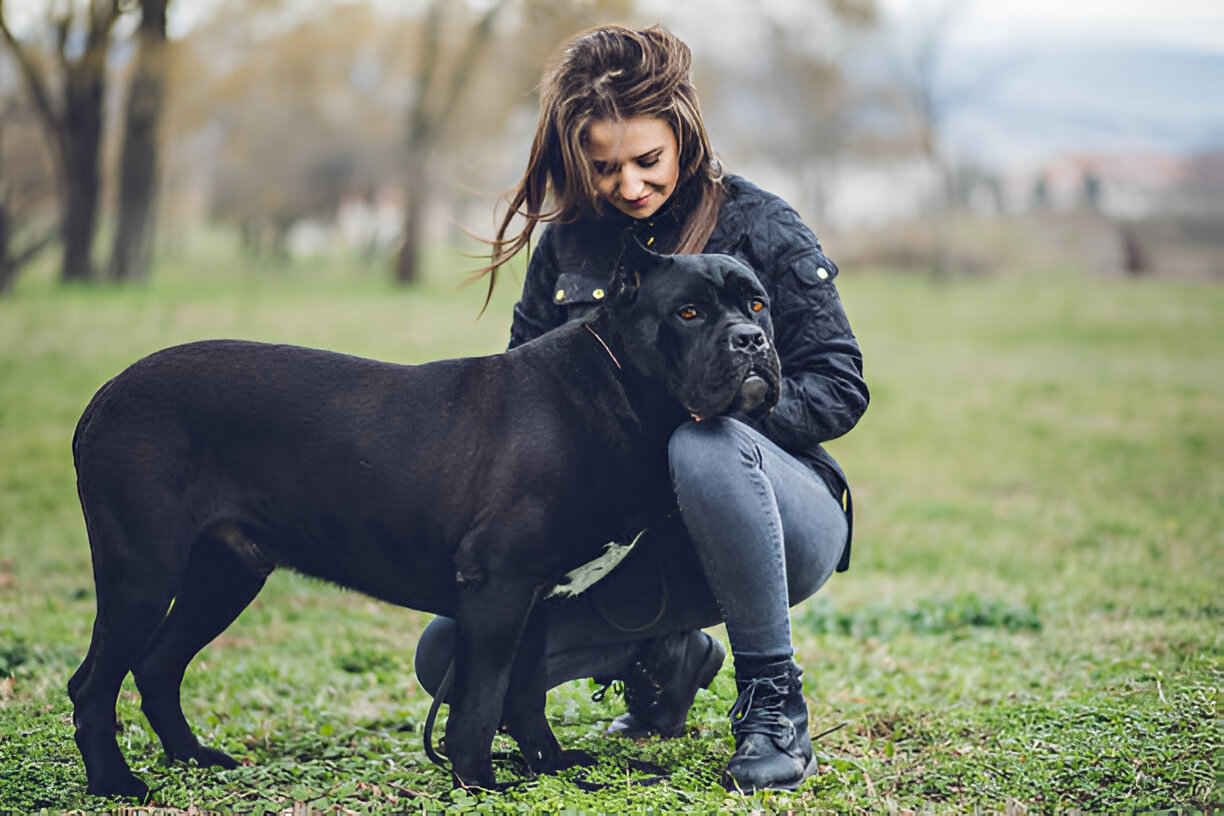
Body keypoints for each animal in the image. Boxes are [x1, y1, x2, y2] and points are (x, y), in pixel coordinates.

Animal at [67, 241, 778, 797]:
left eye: (757, 304)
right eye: (689, 312)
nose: (753, 341)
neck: (620, 386)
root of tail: (104, 397)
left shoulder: (538, 599)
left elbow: (525, 693)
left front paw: (549, 767)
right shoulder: (498, 586)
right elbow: (482, 699)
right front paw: (479, 781)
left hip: (225, 573)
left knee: (158, 666)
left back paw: (192, 759)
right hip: (143, 572)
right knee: (93, 684)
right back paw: (116, 783)